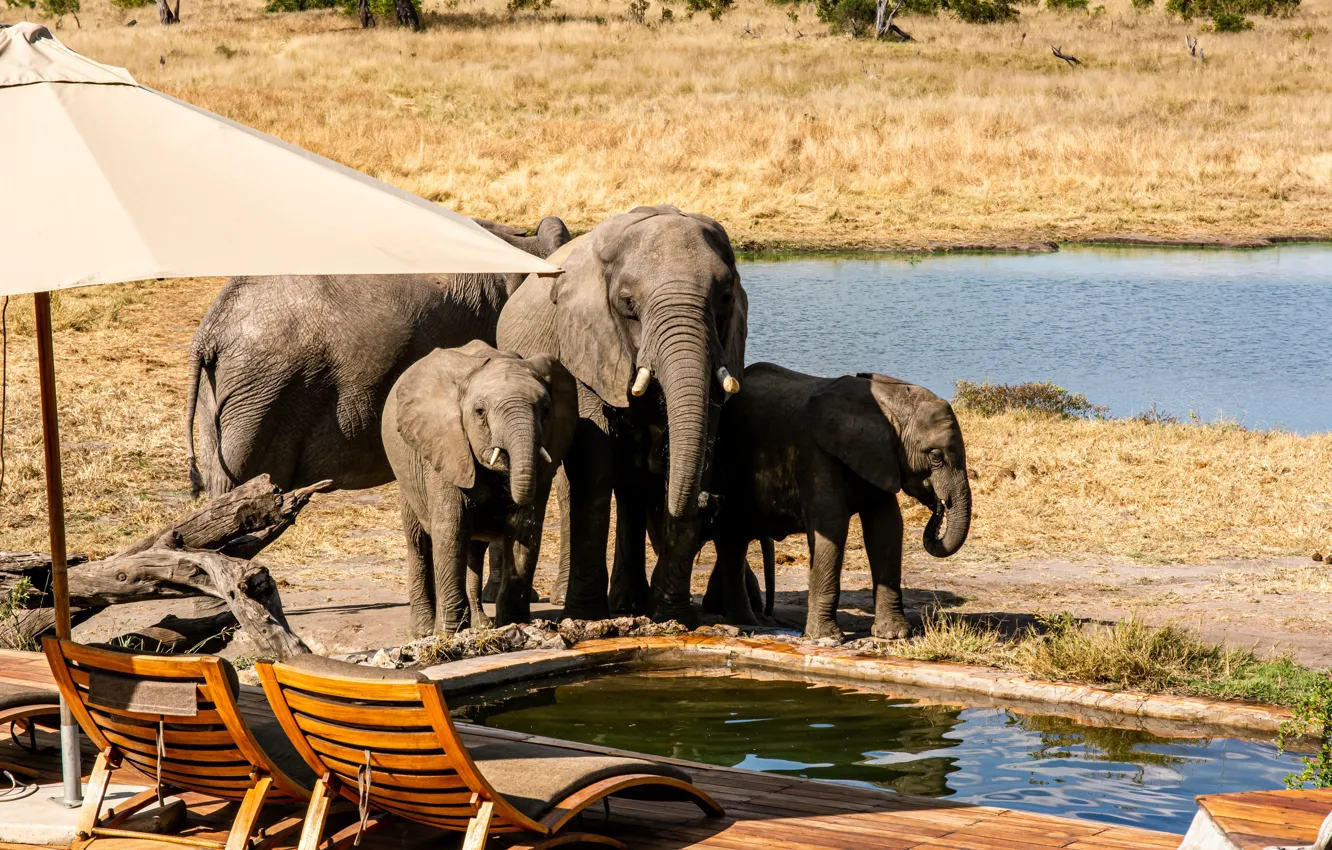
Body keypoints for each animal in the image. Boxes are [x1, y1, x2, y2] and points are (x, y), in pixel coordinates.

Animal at [381, 341, 578, 635]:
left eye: (545, 410)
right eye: (480, 412)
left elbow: (525, 530)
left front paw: (515, 623)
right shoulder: (446, 446)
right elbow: (450, 529)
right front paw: (448, 633)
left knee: (473, 550)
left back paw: (481, 625)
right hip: (407, 474)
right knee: (419, 542)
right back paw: (424, 630)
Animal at [496, 205, 748, 624]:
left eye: (725, 297)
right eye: (628, 303)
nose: (708, 502)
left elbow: (701, 446)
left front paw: (671, 617)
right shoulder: (583, 345)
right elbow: (595, 466)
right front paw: (586, 616)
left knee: (633, 486)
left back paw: (630, 602)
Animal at [698, 363, 972, 640]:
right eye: (936, 457)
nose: (938, 505)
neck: (891, 402)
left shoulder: (882, 458)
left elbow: (886, 527)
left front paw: (894, 634)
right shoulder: (817, 455)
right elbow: (832, 527)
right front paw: (826, 637)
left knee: (733, 542)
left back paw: (745, 621)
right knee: (732, 539)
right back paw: (746, 622)